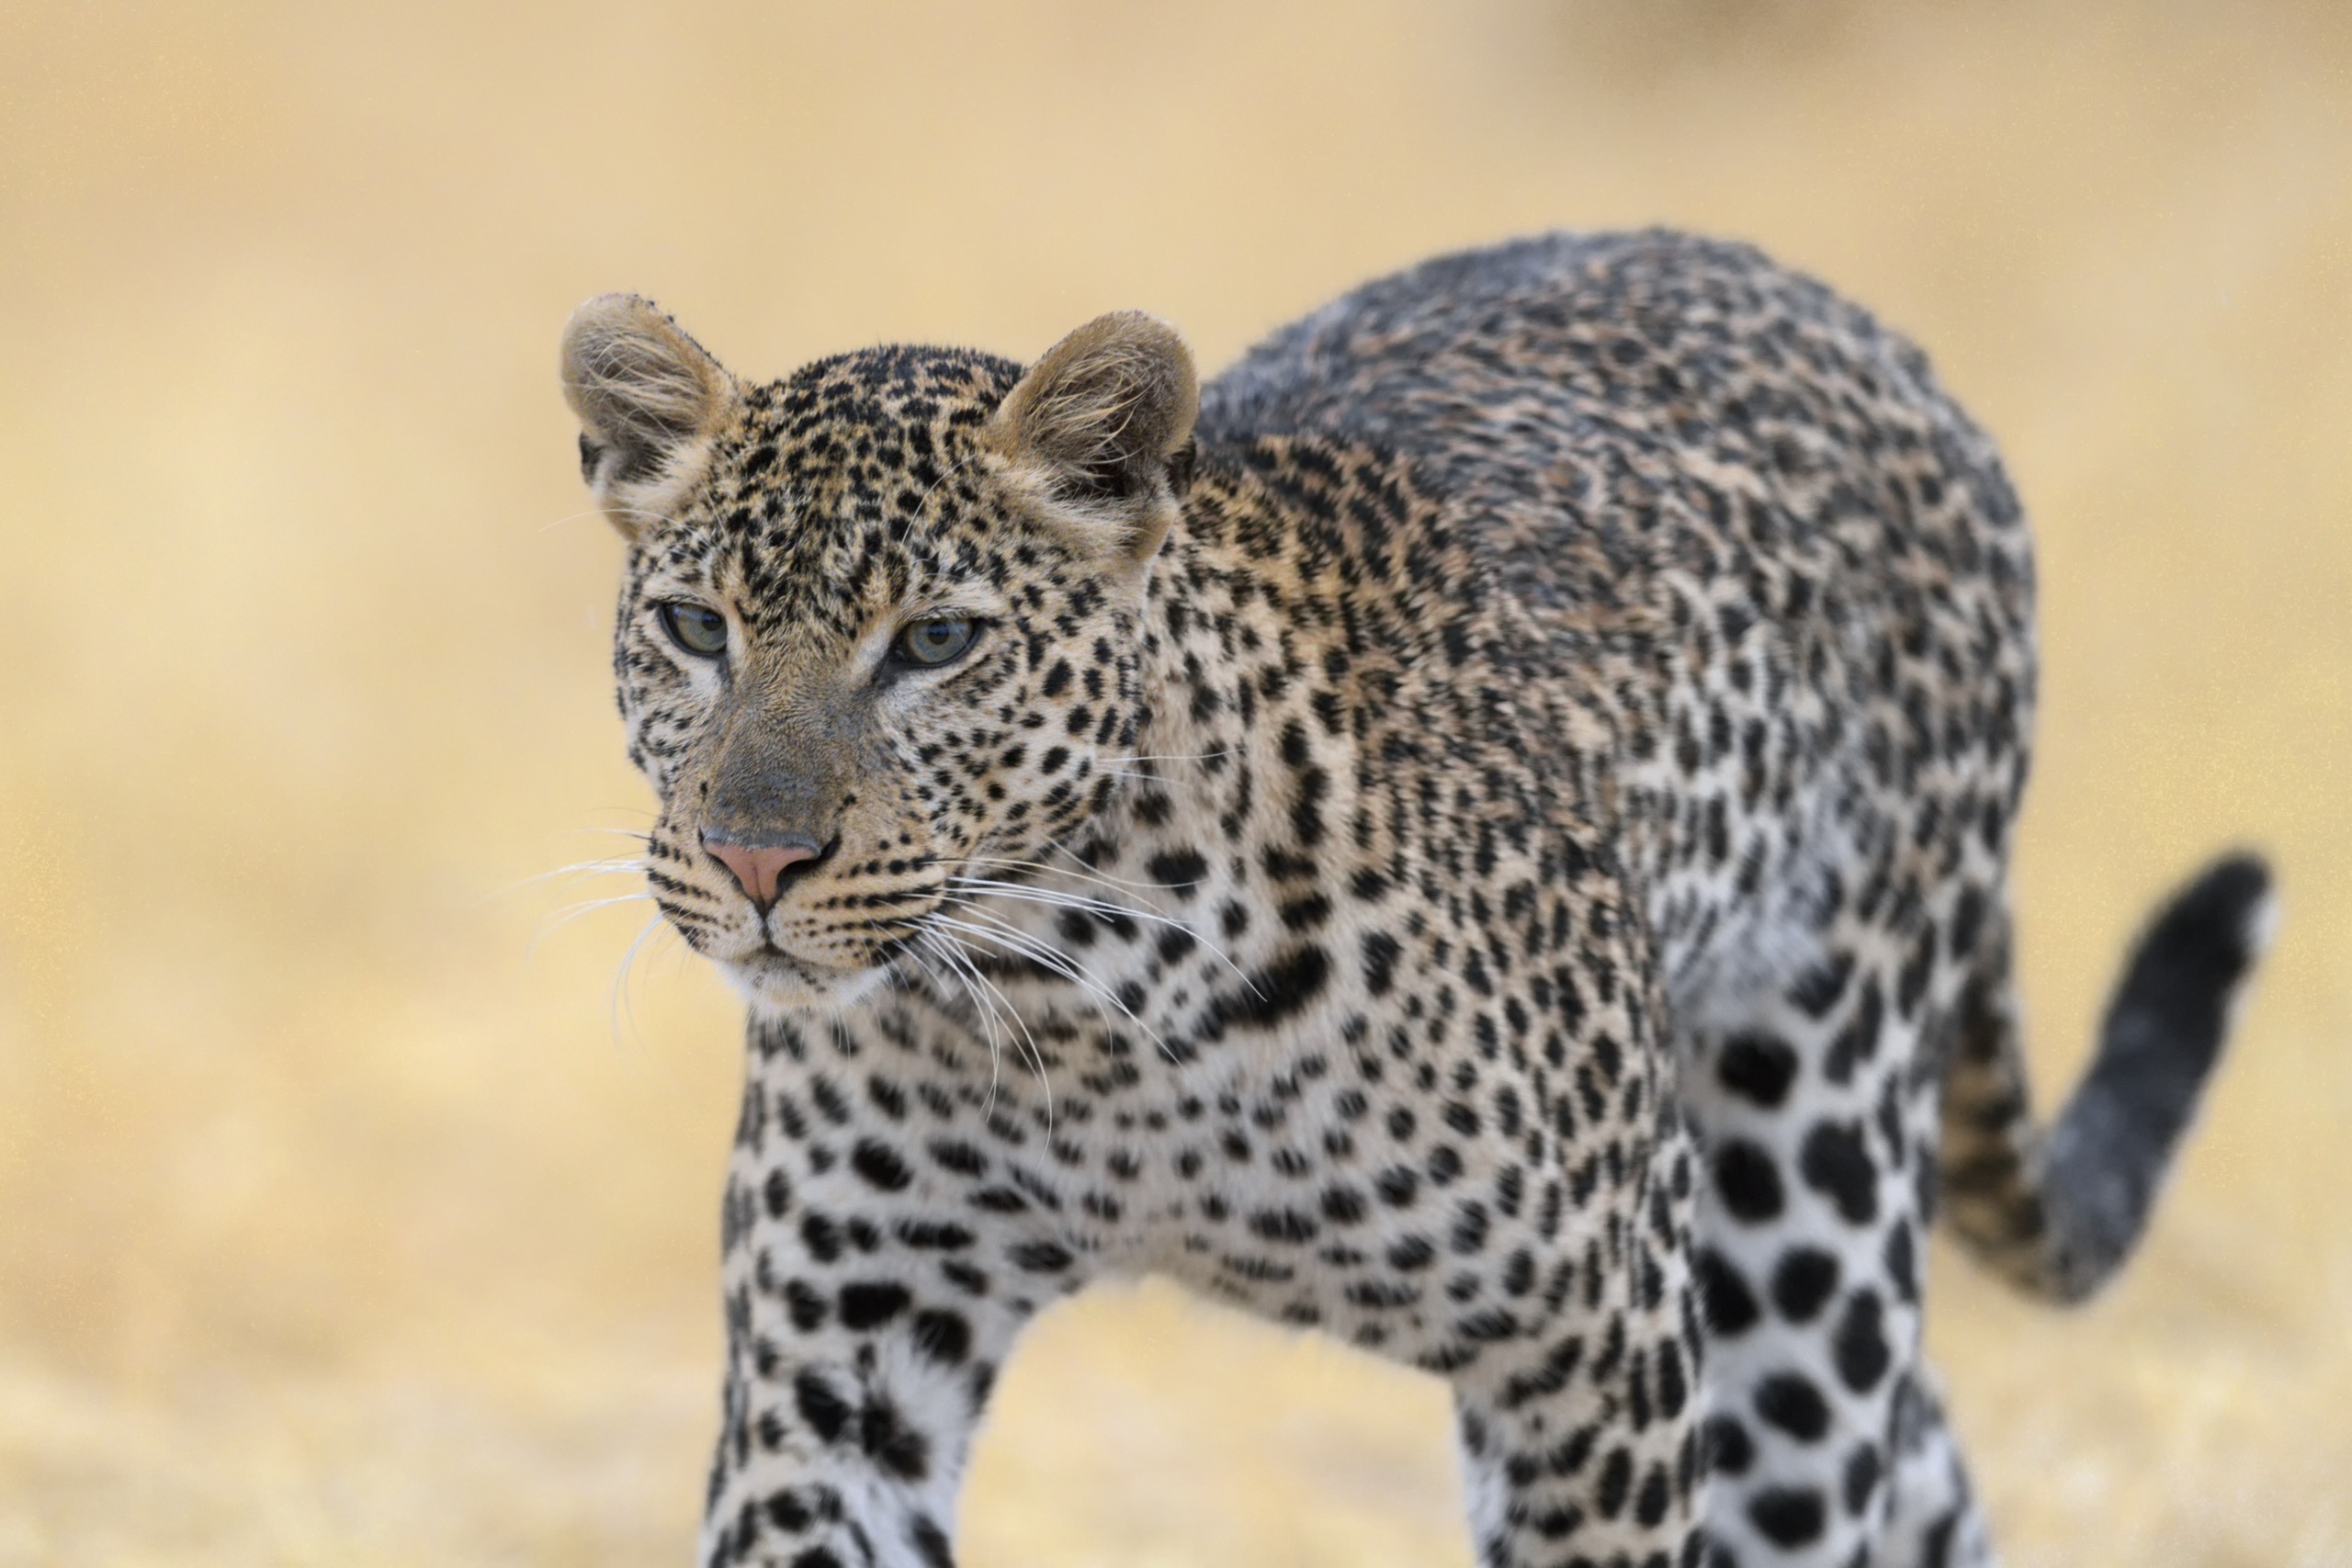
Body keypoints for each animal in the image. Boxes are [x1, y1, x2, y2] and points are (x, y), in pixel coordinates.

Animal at [555, 230, 2277, 1568]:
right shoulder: (838, 1347)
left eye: (935, 643)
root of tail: (1843, 315)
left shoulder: (1601, 1341)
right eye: (697, 628)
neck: (1083, 994)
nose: (755, 858)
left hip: (1810, 1184)